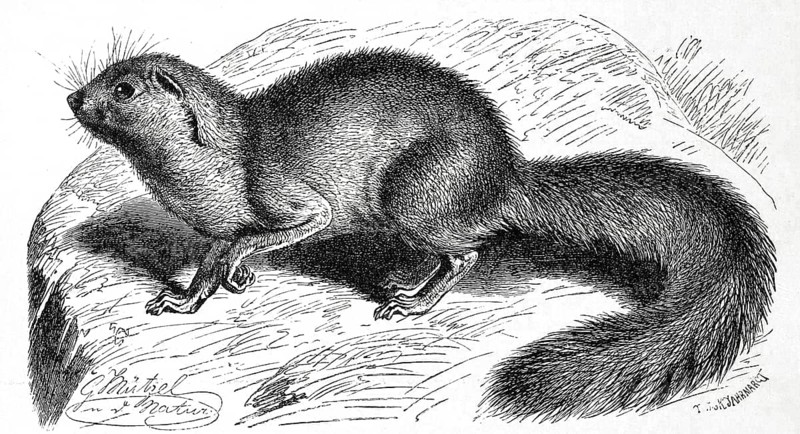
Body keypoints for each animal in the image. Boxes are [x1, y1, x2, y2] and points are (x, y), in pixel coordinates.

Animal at [67, 49, 775, 421]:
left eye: (121, 88)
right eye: (100, 76)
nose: (74, 98)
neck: (206, 172)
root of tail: (503, 172)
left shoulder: (288, 197)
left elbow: (285, 227)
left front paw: (241, 269)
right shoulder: (213, 226)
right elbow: (211, 262)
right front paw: (186, 297)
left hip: (413, 195)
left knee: (466, 251)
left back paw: (411, 299)